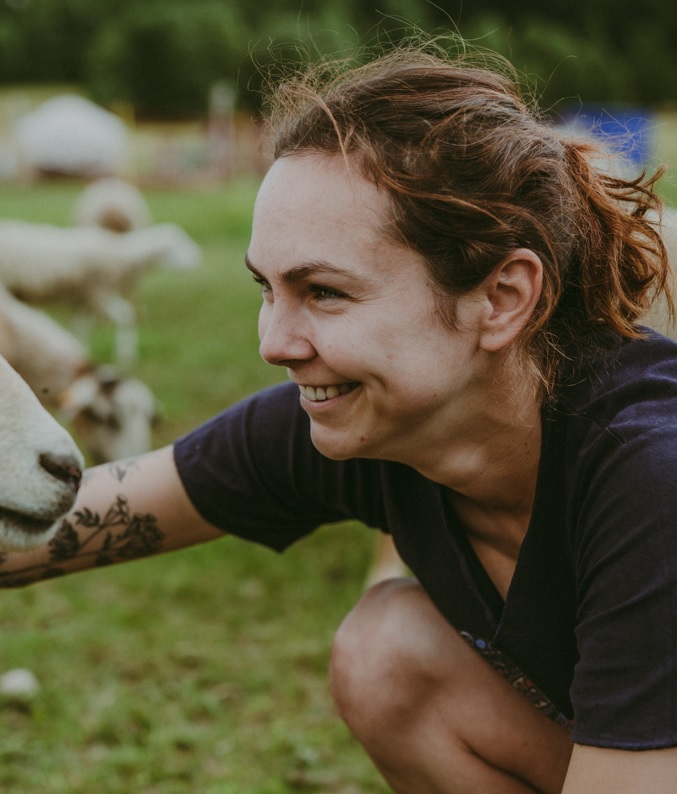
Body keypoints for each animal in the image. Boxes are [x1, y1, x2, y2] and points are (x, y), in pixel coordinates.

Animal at [0, 218, 201, 364]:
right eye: (175, 246)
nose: (197, 259)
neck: (121, 256)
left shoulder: (84, 299)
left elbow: (81, 328)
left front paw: (81, 351)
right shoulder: (100, 293)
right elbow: (126, 316)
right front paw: (126, 356)